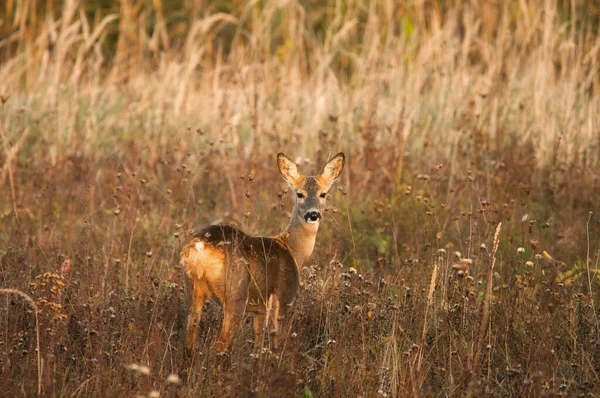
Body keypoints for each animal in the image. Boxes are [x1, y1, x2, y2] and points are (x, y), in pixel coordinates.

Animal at [180, 152, 344, 354]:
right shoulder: (283, 296)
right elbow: (276, 344)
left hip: (192, 287)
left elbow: (257, 348)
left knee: (189, 341)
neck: (293, 250)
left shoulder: (260, 308)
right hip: (236, 292)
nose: (313, 215)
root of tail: (199, 246)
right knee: (221, 345)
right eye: (299, 194)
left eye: (323, 194)